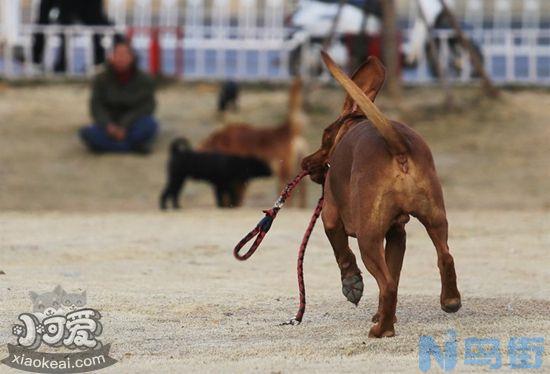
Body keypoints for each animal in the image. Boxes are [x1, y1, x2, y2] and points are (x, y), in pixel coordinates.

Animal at [304, 53, 464, 338]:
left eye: (325, 136)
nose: (305, 162)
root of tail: (397, 146)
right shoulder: (397, 234)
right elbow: (395, 272)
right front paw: (380, 312)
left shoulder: (330, 217)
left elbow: (343, 253)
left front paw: (352, 284)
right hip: (435, 218)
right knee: (444, 257)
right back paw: (449, 301)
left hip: (368, 237)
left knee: (387, 284)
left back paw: (381, 330)